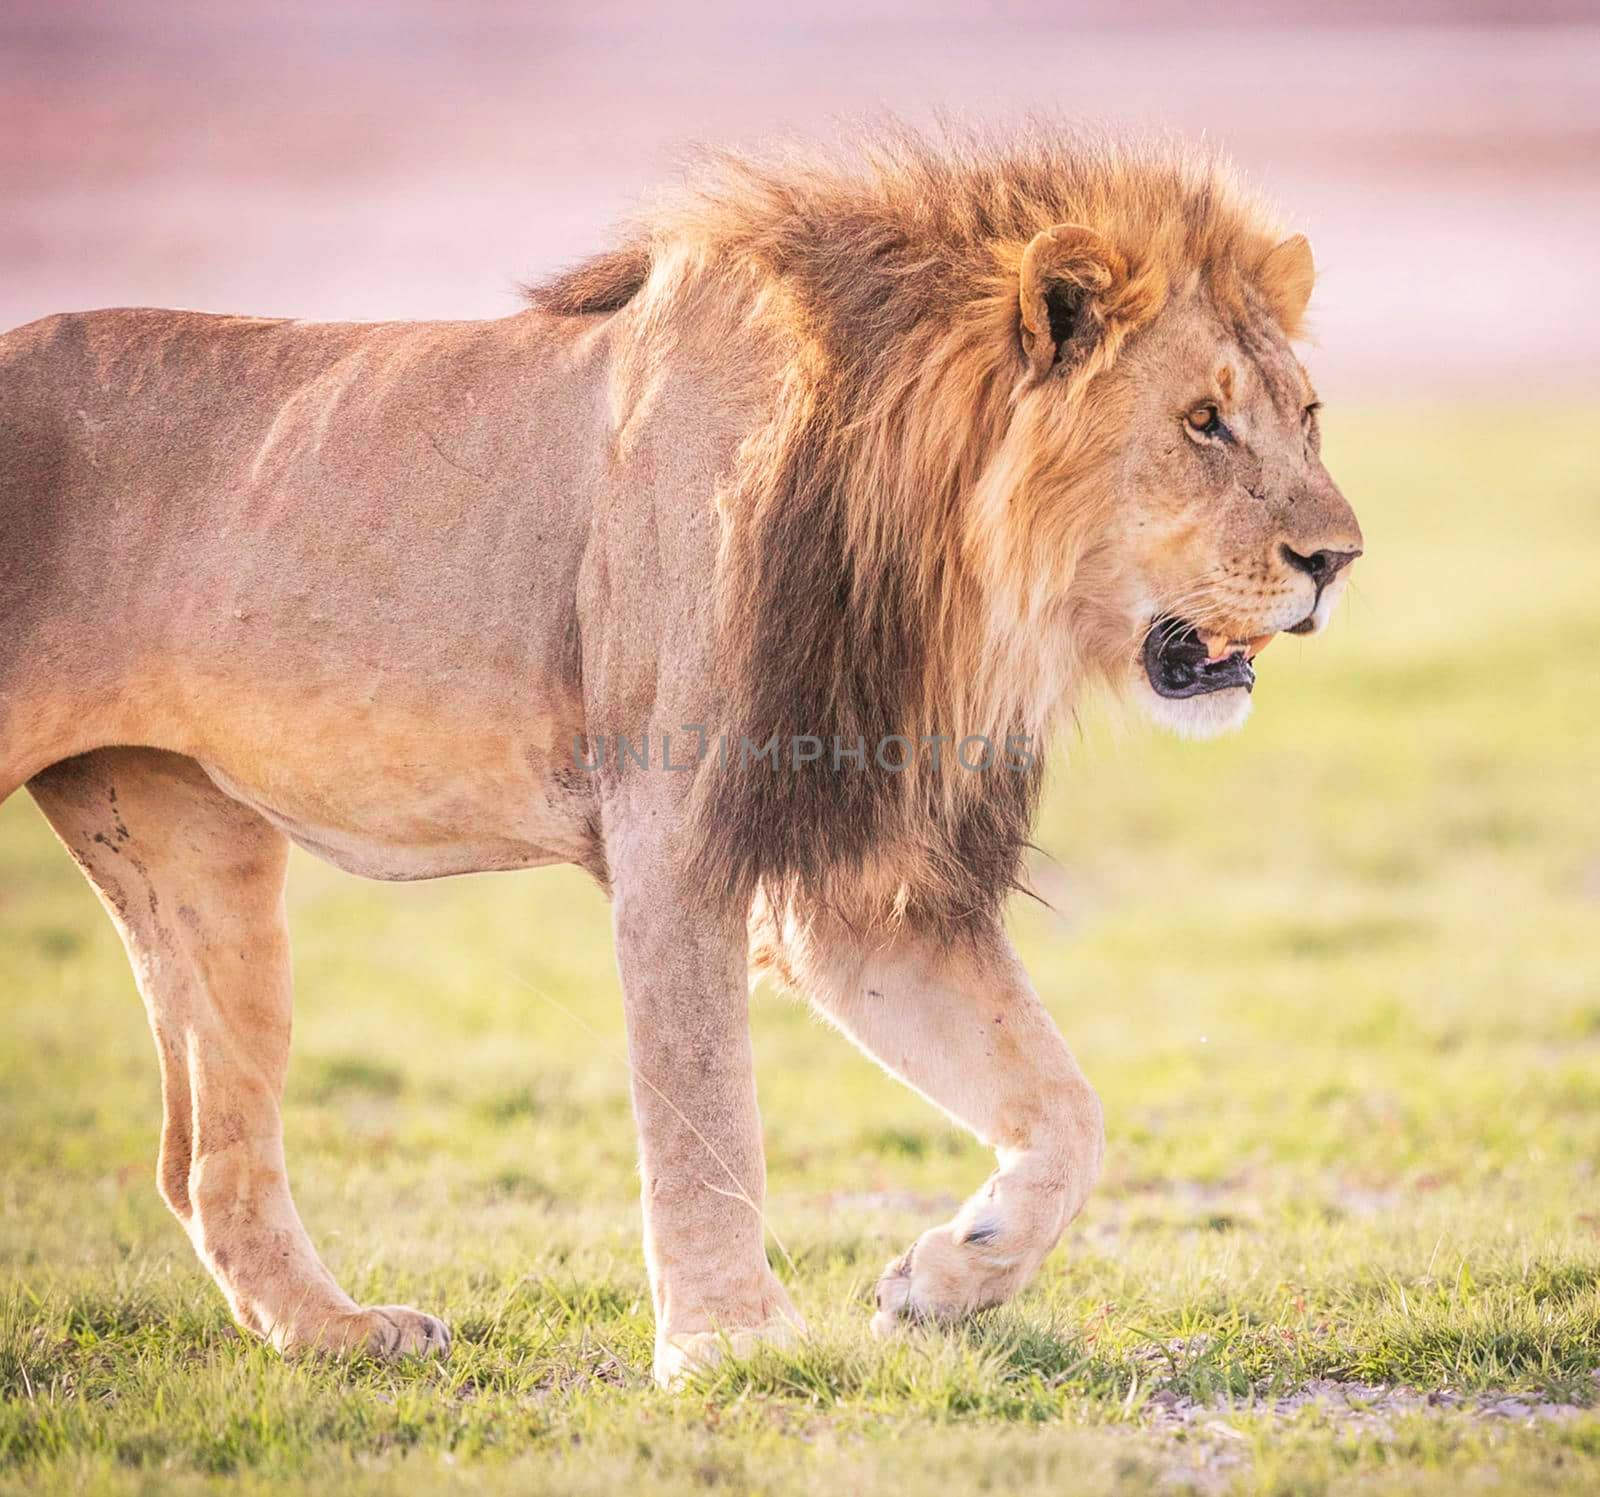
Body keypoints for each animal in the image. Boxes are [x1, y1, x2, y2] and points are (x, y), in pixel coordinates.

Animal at [0, 123, 1363, 1388]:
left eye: (1304, 417)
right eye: (1202, 424)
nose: (1339, 560)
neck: (947, 565)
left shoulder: (865, 883)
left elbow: (1069, 1111)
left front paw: (945, 1279)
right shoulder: (677, 834)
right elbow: (704, 1108)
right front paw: (728, 1342)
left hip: (185, 841)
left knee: (201, 1156)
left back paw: (341, 1334)